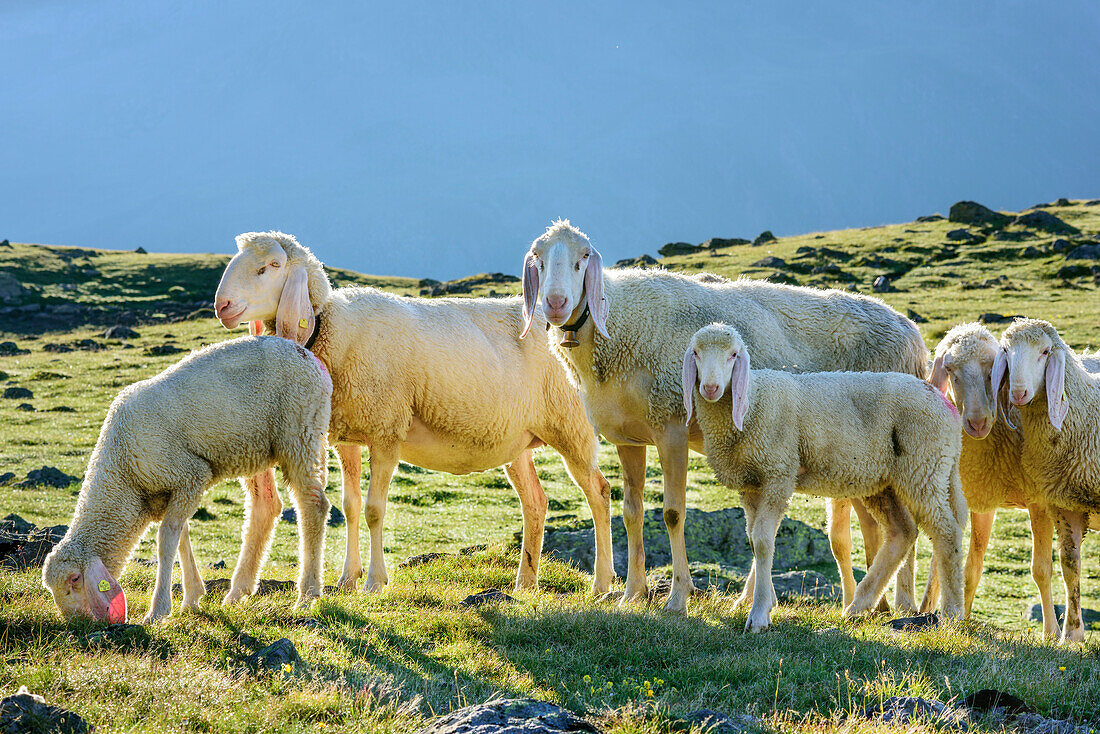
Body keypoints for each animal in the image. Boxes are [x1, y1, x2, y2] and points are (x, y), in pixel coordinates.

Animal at [41, 336, 330, 625]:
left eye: (75, 579)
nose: (76, 623)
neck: (124, 474)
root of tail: (308, 357)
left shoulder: (190, 475)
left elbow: (166, 541)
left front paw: (158, 610)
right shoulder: (172, 492)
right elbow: (181, 537)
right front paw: (191, 598)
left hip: (299, 432)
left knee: (313, 506)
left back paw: (307, 596)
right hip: (262, 447)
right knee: (267, 506)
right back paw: (238, 592)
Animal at [210, 235, 616, 598]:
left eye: (272, 265)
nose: (222, 305)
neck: (333, 327)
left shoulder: (387, 429)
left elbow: (374, 509)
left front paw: (375, 582)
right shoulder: (347, 436)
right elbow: (351, 507)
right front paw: (347, 579)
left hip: (571, 426)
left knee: (599, 492)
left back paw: (602, 583)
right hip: (518, 441)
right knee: (536, 502)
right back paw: (526, 583)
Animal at [521, 220, 928, 616]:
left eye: (583, 258)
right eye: (538, 258)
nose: (555, 304)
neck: (618, 326)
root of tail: (911, 333)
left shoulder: (671, 425)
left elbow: (672, 513)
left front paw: (678, 596)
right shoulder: (629, 436)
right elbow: (632, 512)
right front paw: (632, 594)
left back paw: (903, 606)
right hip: (857, 459)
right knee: (873, 525)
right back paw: (866, 603)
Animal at [682, 323, 968, 633]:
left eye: (734, 355)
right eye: (695, 352)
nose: (710, 388)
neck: (754, 399)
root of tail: (946, 407)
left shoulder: (778, 474)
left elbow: (763, 541)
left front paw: (758, 615)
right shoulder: (751, 485)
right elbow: (753, 541)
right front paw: (763, 603)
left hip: (924, 467)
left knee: (947, 532)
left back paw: (952, 611)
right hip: (886, 482)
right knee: (902, 532)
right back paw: (858, 605)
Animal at [998, 319, 1100, 642]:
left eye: (1045, 352)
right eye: (1006, 350)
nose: (1018, 393)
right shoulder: (1065, 505)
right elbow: (1070, 567)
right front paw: (1072, 634)